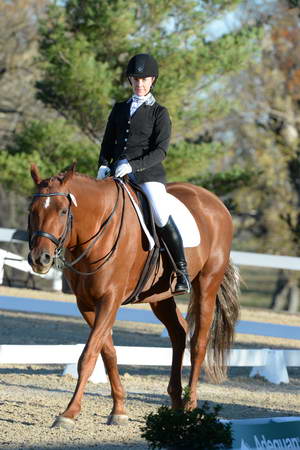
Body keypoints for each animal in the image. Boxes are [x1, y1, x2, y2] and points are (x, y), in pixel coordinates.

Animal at [27, 164, 239, 428]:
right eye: (32, 210)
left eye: (63, 211)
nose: (40, 258)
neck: (99, 228)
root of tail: (217, 203)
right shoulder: (86, 304)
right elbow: (107, 352)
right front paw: (118, 409)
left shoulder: (110, 299)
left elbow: (88, 356)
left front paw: (69, 413)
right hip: (160, 296)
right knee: (178, 333)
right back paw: (176, 404)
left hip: (207, 285)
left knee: (199, 343)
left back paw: (190, 406)